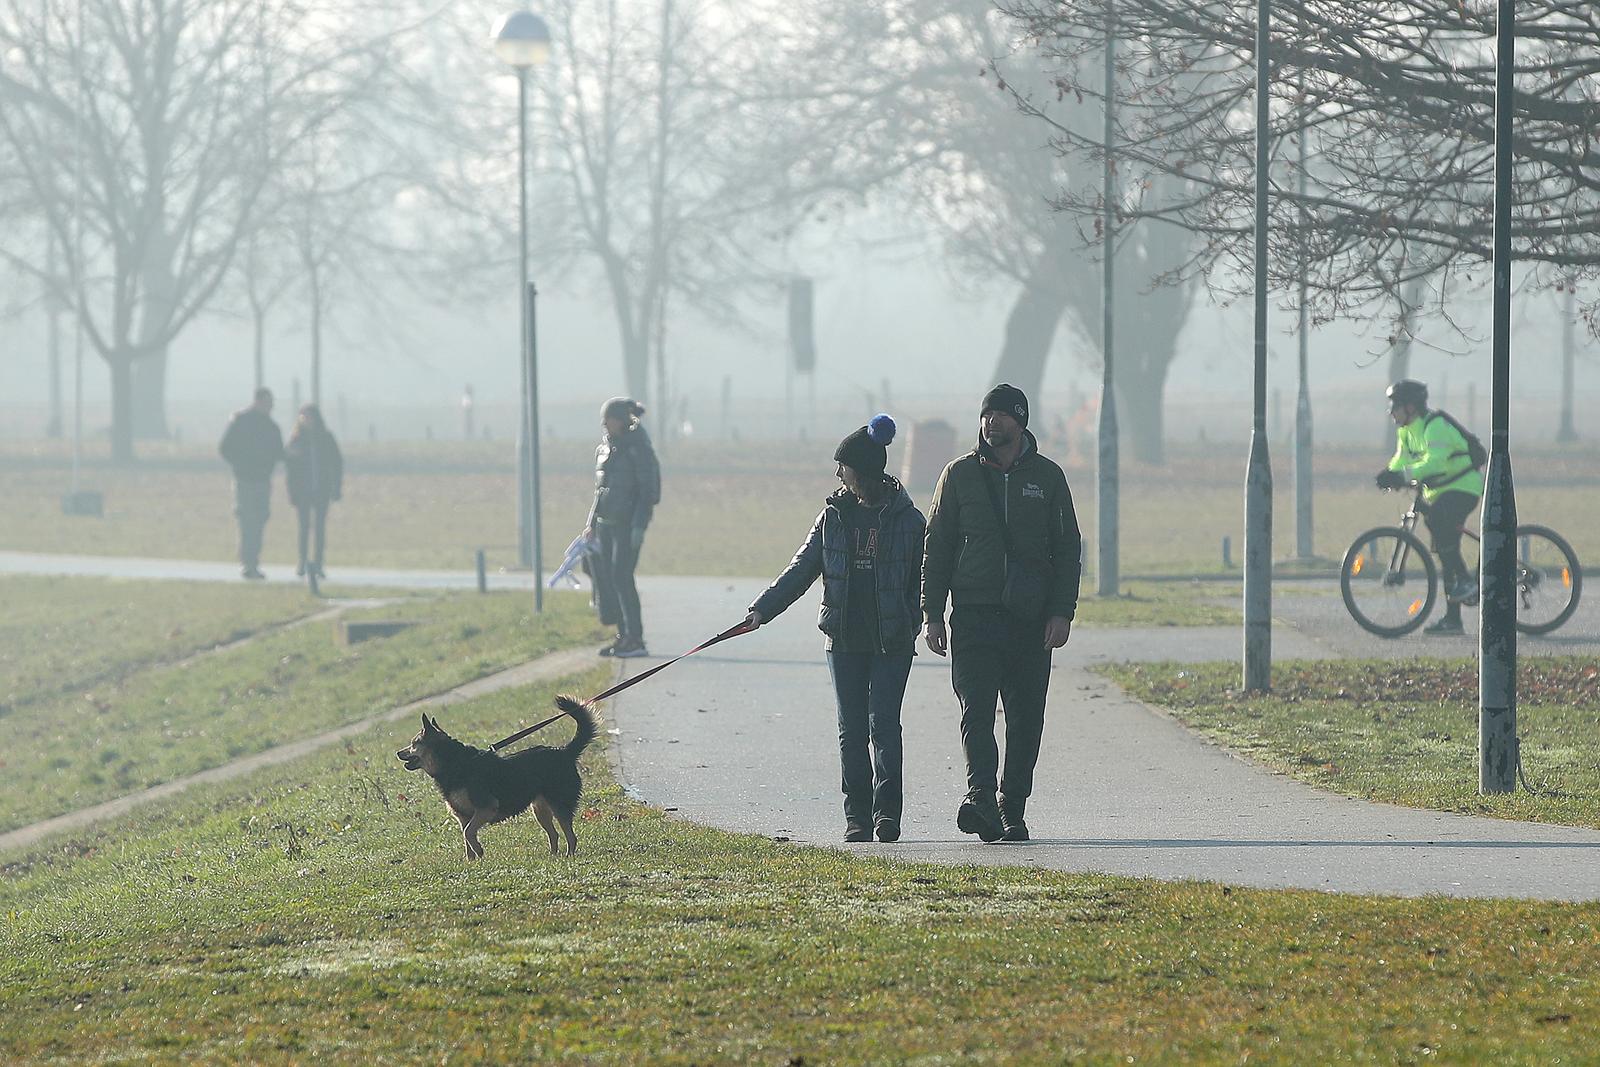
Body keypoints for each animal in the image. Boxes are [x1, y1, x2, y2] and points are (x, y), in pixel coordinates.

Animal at [396, 697, 598, 863]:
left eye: (414, 744)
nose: (398, 752)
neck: (454, 764)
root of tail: (565, 752)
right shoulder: (462, 816)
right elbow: (465, 837)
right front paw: (472, 862)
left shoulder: (485, 807)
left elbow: (469, 833)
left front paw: (479, 851)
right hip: (540, 809)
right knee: (554, 834)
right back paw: (553, 856)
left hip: (559, 803)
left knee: (570, 835)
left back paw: (568, 855)